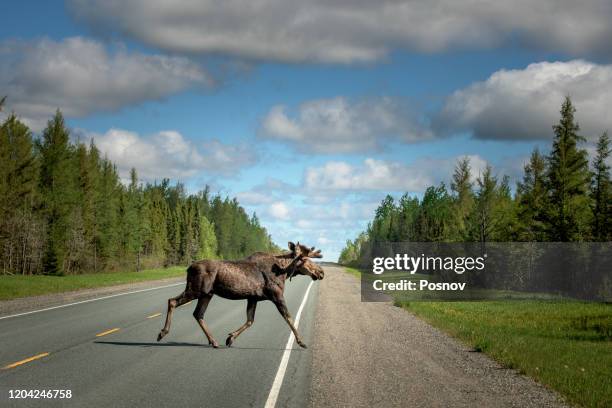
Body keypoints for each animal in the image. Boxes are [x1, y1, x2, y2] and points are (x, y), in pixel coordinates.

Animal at [155, 241, 322, 350]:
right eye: (304, 259)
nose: (321, 272)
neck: (283, 272)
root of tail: (188, 268)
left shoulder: (253, 298)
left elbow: (250, 321)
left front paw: (230, 338)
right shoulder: (276, 295)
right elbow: (289, 318)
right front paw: (301, 342)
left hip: (207, 294)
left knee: (198, 314)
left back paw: (213, 341)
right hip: (196, 290)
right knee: (172, 301)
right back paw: (163, 332)